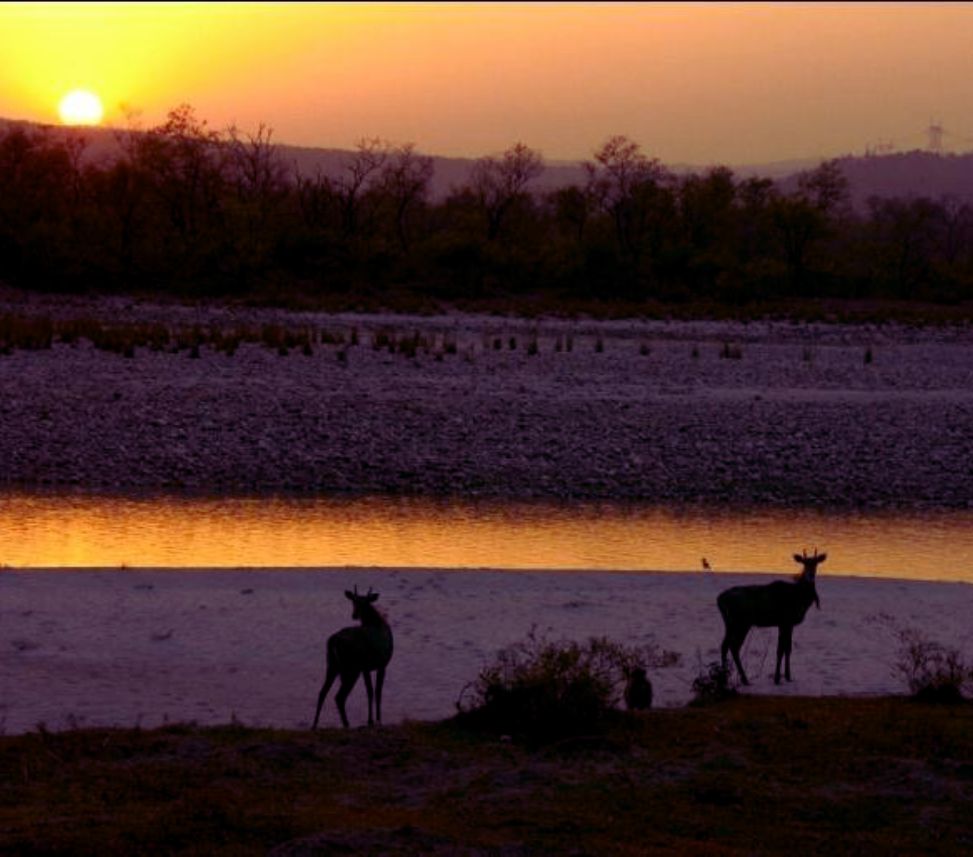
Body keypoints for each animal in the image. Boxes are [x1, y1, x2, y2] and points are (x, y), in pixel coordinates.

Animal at [308, 580, 392, 728]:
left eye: (364, 602)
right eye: (354, 601)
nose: (355, 615)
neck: (378, 622)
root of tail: (334, 640)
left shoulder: (367, 668)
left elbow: (371, 691)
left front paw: (372, 720)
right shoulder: (380, 664)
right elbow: (376, 692)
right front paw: (376, 721)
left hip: (332, 665)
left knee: (323, 692)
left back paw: (315, 724)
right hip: (351, 667)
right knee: (339, 696)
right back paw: (347, 724)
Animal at [716, 552, 824, 684]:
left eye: (816, 563)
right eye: (804, 563)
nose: (811, 575)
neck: (799, 599)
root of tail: (719, 599)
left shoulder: (788, 624)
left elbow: (787, 648)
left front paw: (788, 676)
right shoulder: (785, 621)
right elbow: (780, 650)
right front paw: (777, 678)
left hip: (730, 624)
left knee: (724, 645)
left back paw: (725, 678)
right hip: (741, 622)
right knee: (734, 646)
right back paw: (744, 679)